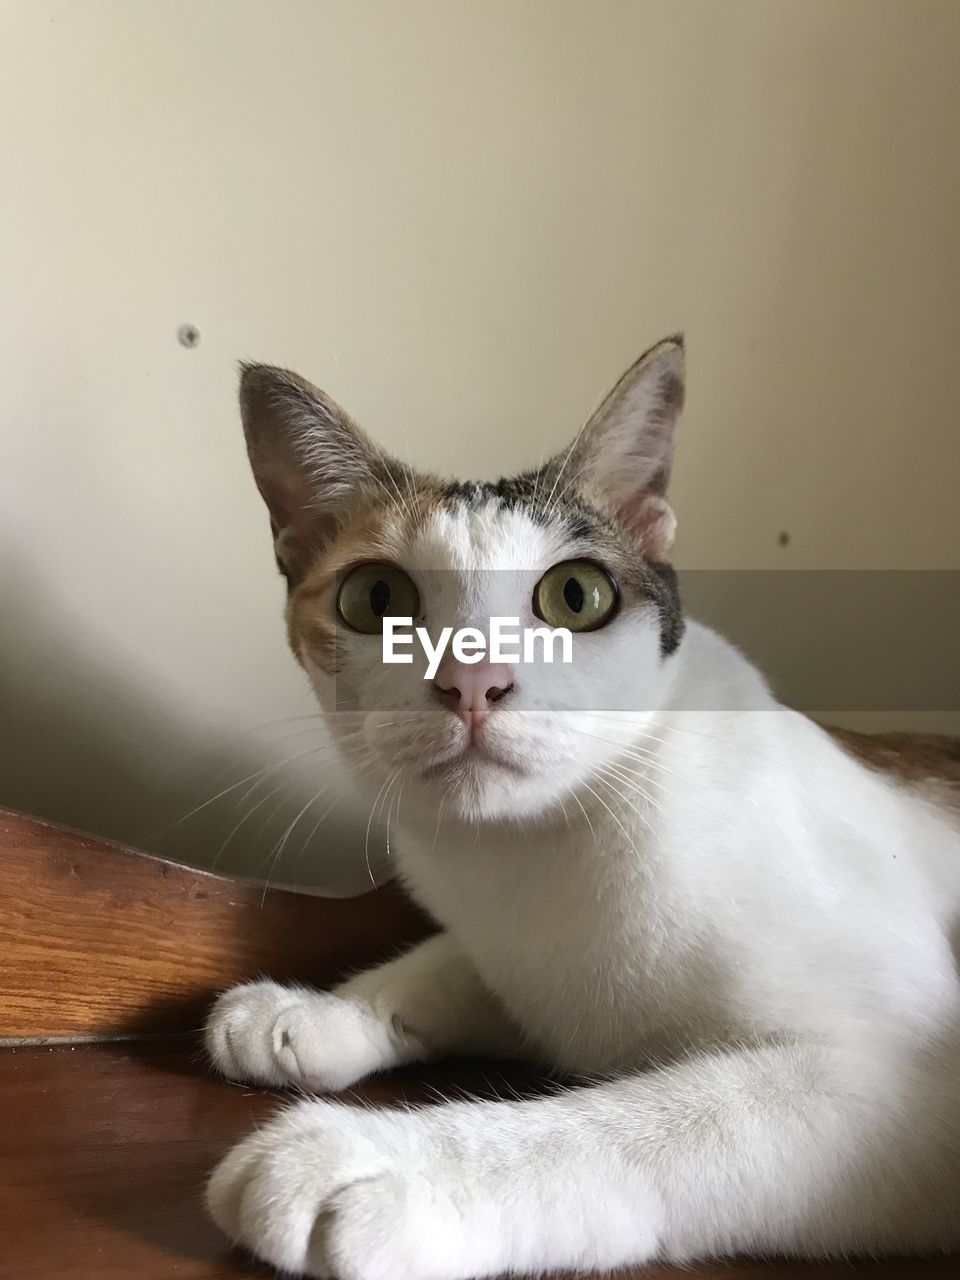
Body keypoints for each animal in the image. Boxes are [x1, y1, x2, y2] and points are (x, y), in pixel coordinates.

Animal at [200, 335, 960, 1274]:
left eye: (577, 596)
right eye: (376, 598)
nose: (473, 680)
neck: (536, 858)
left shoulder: (912, 1085)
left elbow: (658, 1123)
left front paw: (387, 1163)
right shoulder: (524, 970)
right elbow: (450, 967)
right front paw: (316, 1013)